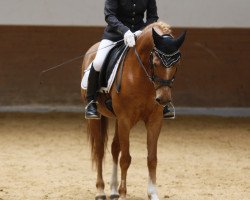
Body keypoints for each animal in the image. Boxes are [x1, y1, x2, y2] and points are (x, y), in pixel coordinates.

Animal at [81, 21, 186, 200]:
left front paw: (153, 193)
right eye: (155, 63)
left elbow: (152, 158)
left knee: (115, 148)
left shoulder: (154, 120)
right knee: (100, 150)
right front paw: (124, 194)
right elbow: (126, 158)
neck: (142, 76)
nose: (163, 99)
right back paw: (101, 190)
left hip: (117, 119)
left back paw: (113, 190)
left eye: (177, 65)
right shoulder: (125, 119)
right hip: (98, 118)